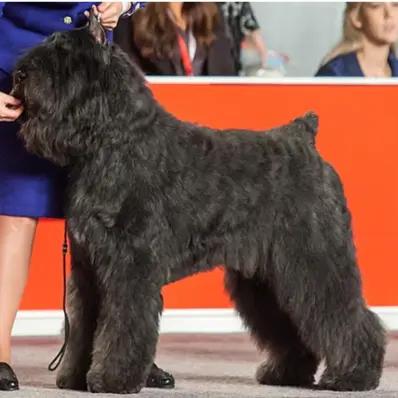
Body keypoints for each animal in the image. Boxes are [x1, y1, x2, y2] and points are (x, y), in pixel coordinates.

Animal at [13, 13, 386, 394]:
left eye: (64, 53)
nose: (20, 74)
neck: (113, 140)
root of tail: (305, 138)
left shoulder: (129, 266)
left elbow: (122, 325)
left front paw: (113, 378)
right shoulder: (88, 269)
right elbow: (83, 325)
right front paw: (75, 376)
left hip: (312, 260)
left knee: (348, 317)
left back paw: (353, 375)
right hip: (267, 278)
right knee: (293, 325)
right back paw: (287, 373)